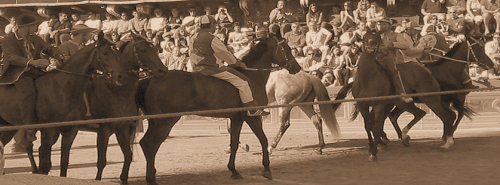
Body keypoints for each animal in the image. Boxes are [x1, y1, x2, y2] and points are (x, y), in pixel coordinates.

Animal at [0, 31, 128, 174]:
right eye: (105, 52)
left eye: (117, 53)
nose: (121, 76)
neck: (62, 87)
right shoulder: (48, 131)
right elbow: (45, 164)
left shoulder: (70, 131)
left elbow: (64, 162)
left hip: (8, 126)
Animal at [137, 35, 300, 184]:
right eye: (287, 48)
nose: (297, 68)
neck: (251, 76)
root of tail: (151, 78)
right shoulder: (252, 117)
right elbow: (263, 140)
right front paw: (266, 169)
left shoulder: (236, 118)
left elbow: (234, 143)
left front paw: (234, 170)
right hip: (165, 122)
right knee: (150, 145)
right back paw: (151, 178)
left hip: (155, 123)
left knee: (146, 144)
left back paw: (151, 174)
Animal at [332, 30, 458, 160]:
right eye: (366, 37)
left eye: (377, 38)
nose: (371, 44)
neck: (368, 78)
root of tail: (427, 72)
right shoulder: (363, 105)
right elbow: (368, 126)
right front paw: (372, 148)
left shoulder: (379, 105)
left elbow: (375, 126)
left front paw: (374, 153)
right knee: (444, 115)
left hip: (430, 100)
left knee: (444, 116)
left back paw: (446, 143)